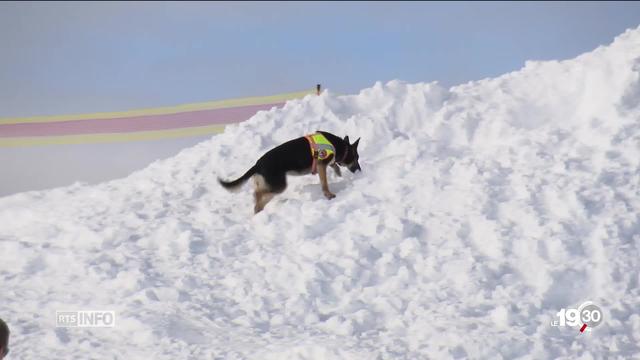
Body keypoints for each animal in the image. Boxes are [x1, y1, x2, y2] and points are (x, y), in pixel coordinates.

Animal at [219, 131, 360, 212]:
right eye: (357, 158)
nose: (360, 171)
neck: (340, 145)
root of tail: (257, 164)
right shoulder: (321, 165)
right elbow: (324, 183)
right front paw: (329, 195)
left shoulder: (325, 164)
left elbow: (334, 165)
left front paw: (338, 173)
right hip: (279, 185)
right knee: (258, 194)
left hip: (271, 186)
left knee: (259, 198)